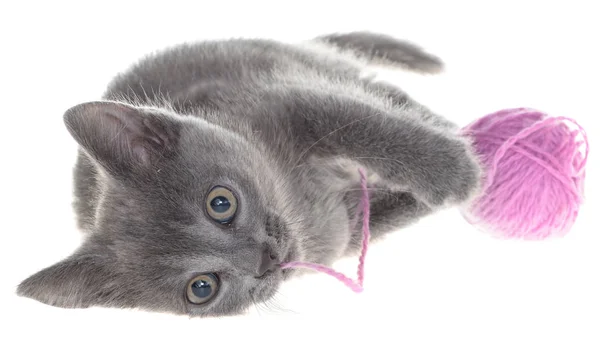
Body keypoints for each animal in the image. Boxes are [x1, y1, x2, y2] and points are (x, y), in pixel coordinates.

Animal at [15, 31, 482, 316]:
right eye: (202, 288)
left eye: (220, 203)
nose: (264, 260)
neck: (296, 195)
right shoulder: (344, 234)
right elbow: (388, 215)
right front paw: (450, 181)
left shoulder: (287, 99)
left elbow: (366, 125)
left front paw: (456, 170)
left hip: (291, 60)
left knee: (376, 90)